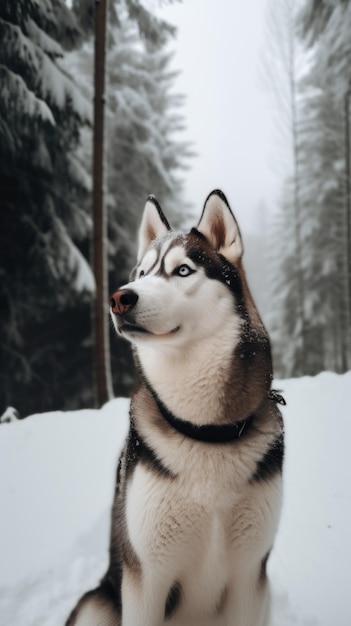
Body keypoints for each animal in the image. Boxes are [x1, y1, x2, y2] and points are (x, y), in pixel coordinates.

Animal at [66, 189, 286, 624]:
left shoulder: (250, 576)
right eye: (141, 273)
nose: (120, 298)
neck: (206, 432)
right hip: (97, 603)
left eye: (183, 270)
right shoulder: (146, 578)